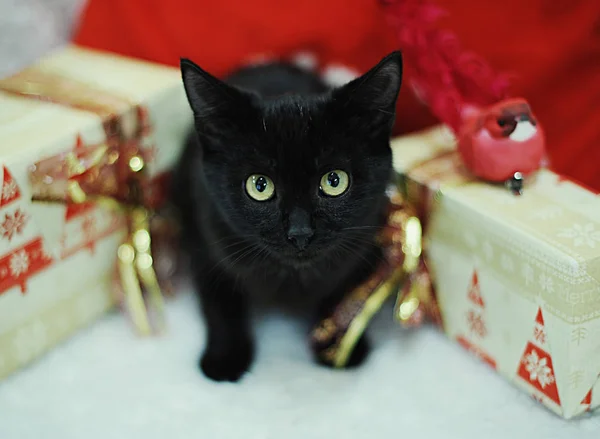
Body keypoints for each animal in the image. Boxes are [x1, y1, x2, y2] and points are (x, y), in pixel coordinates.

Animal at [171, 50, 400, 382]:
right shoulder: (205, 241)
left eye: (334, 181)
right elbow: (220, 303)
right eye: (259, 185)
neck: (293, 278)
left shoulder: (366, 239)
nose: (300, 232)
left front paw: (337, 349)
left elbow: (342, 295)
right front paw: (224, 359)